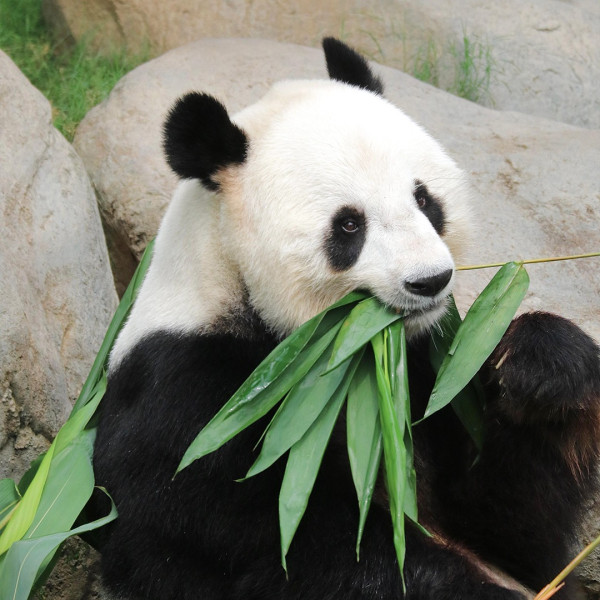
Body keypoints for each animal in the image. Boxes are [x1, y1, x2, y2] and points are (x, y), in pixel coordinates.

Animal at [94, 38, 600, 600]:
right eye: (349, 225)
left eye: (424, 198)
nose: (430, 281)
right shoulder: (190, 395)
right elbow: (281, 539)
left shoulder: (428, 371)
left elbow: (516, 526)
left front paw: (541, 367)